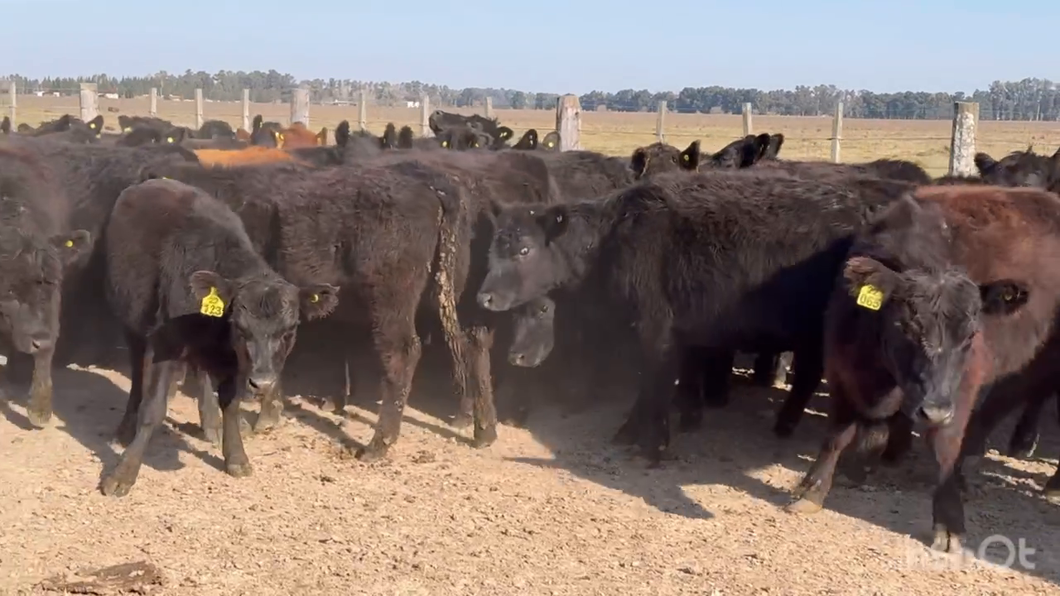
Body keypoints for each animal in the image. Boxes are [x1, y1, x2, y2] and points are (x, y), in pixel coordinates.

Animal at [100, 178, 334, 494]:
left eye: (290, 329)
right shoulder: (167, 343)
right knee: (139, 375)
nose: (262, 383)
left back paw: (210, 423)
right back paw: (126, 428)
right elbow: (153, 408)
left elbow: (231, 403)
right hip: (131, 322)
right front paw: (122, 473)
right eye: (239, 326)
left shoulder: (232, 361)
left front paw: (235, 456)